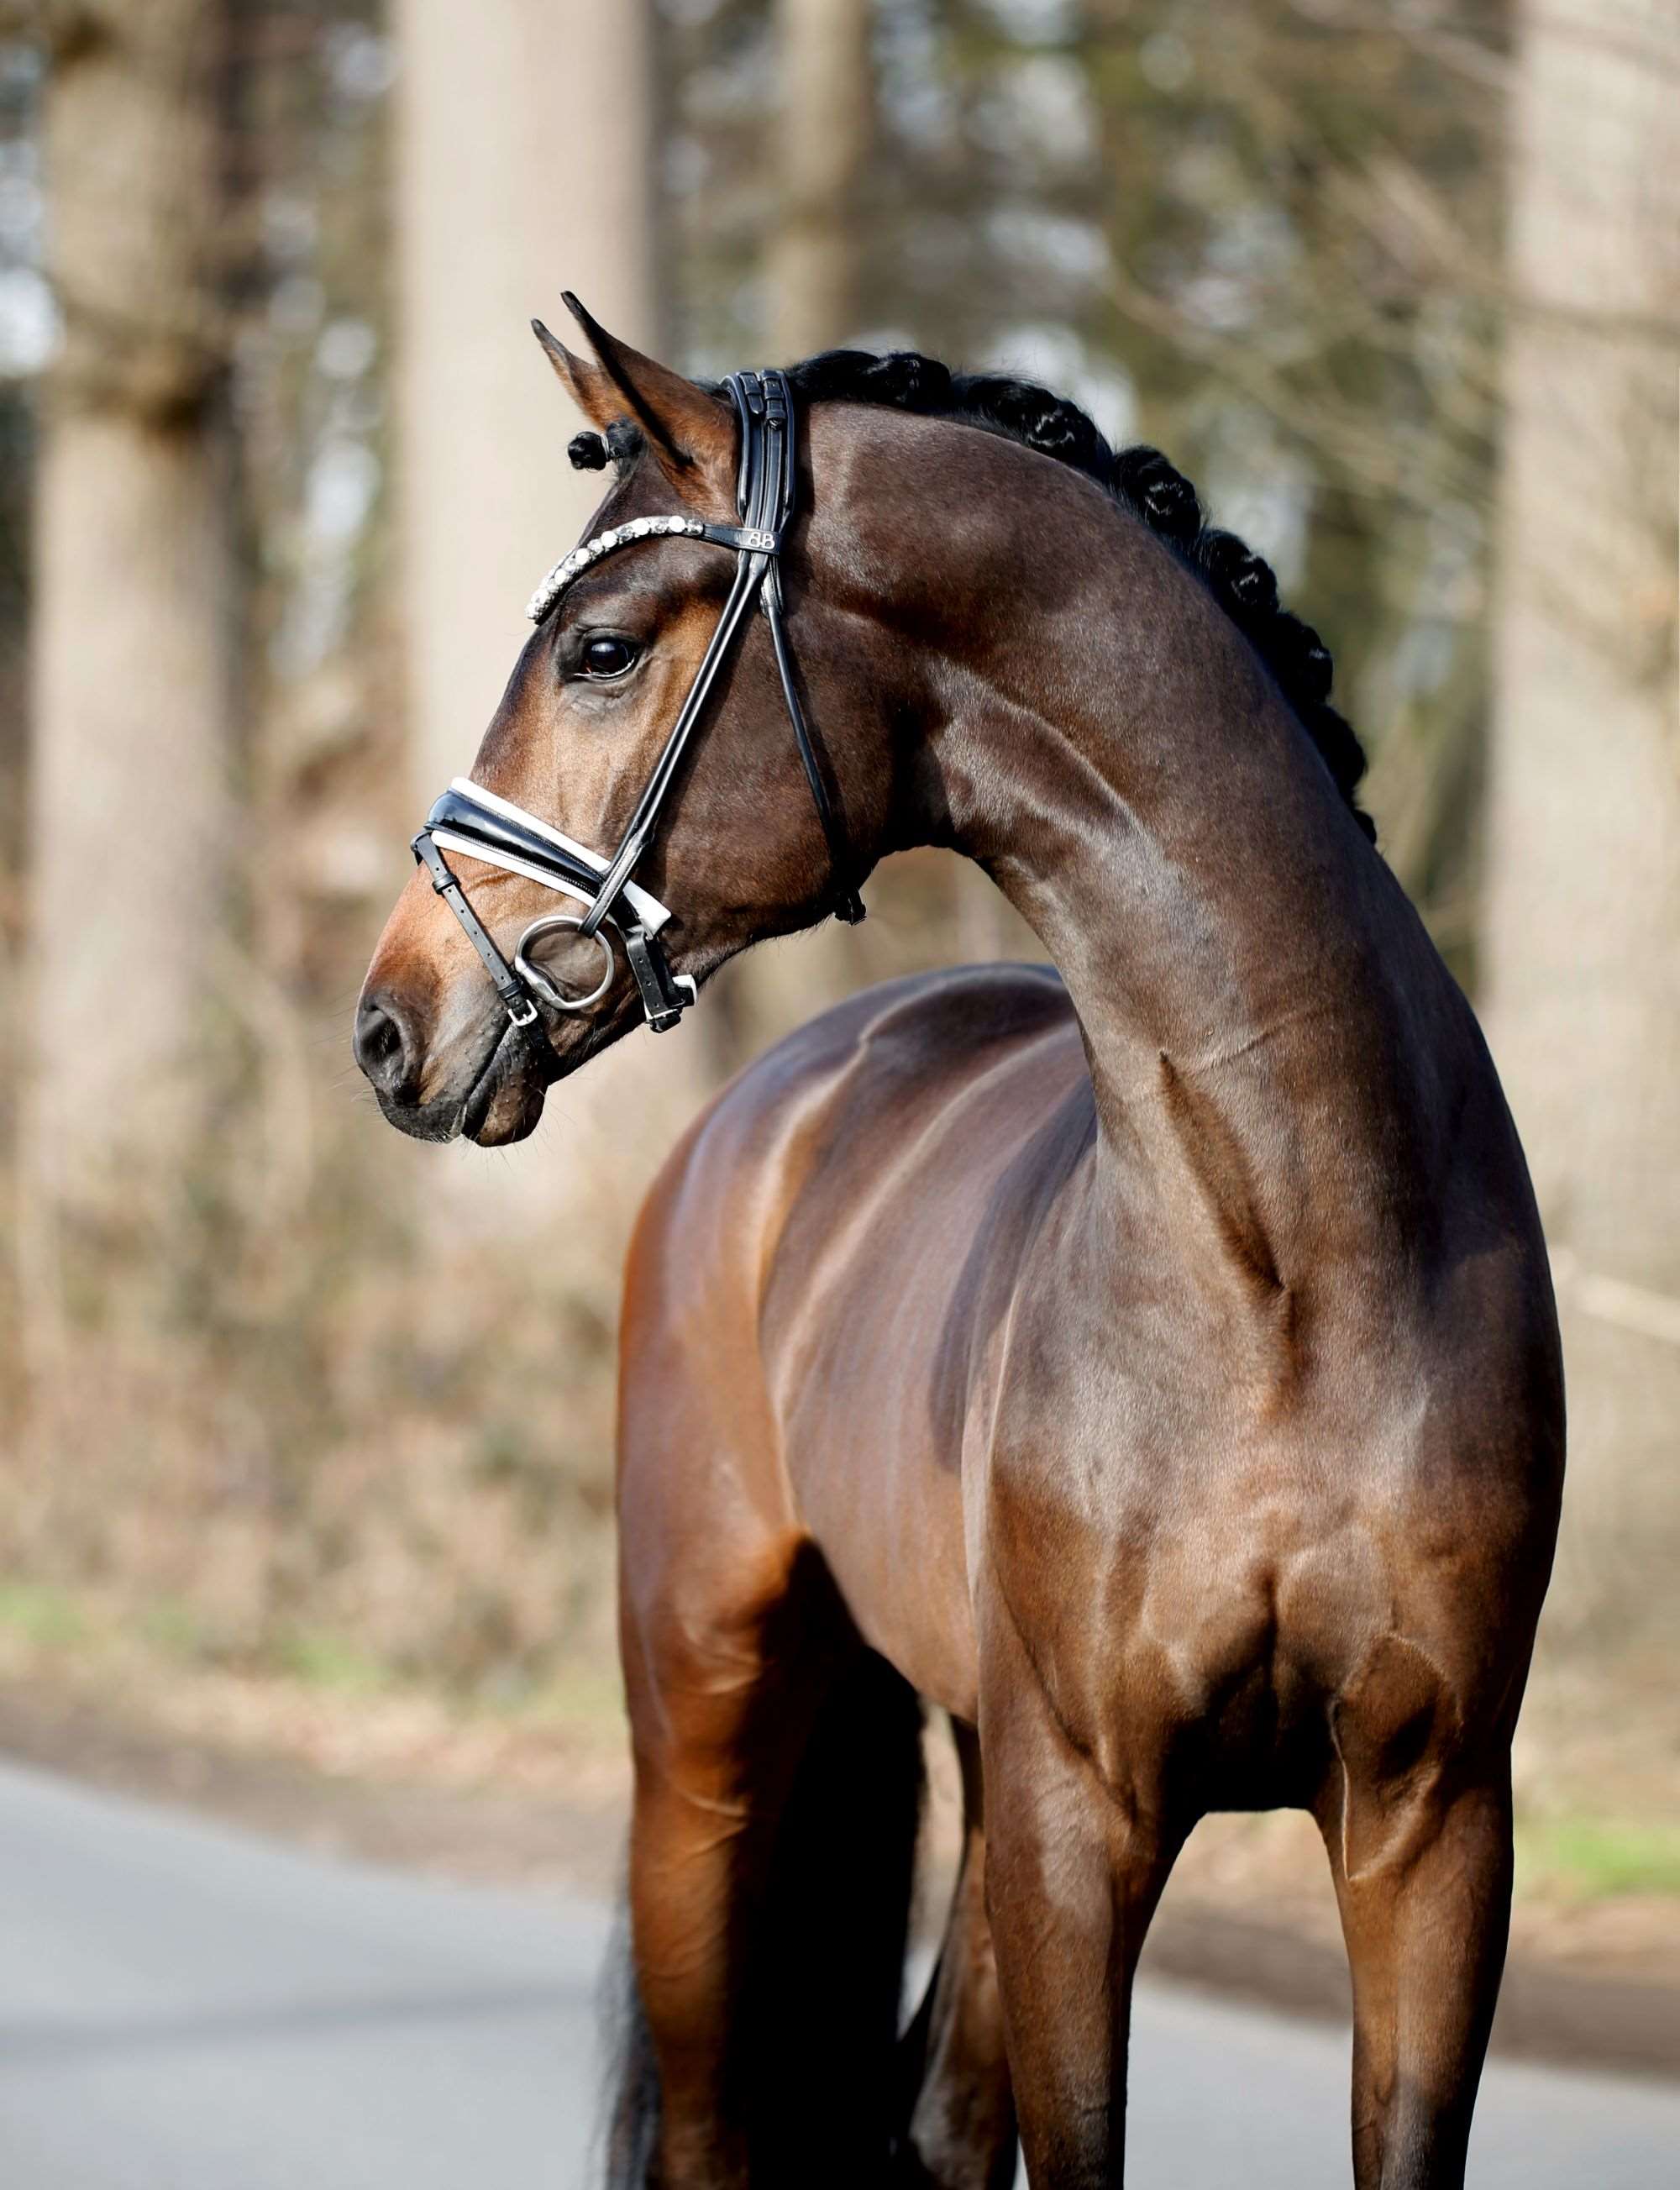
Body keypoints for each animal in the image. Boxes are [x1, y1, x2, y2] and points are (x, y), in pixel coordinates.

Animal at [355, 297, 1564, 2189]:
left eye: (603, 649)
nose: (391, 1020)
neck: (1288, 1273)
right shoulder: (1087, 1811)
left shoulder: (1430, 1819)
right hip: (707, 1733)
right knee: (717, 2120)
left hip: (978, 1769)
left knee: (927, 2116)